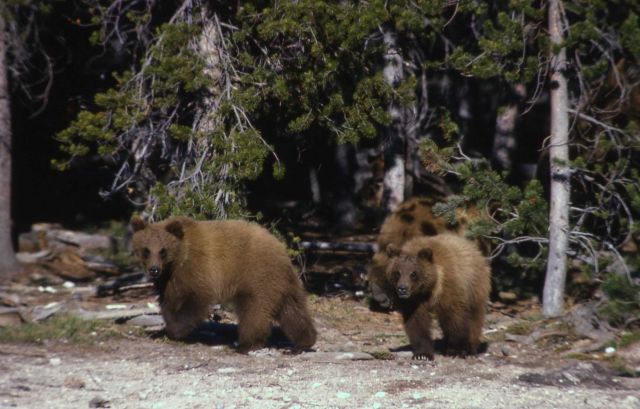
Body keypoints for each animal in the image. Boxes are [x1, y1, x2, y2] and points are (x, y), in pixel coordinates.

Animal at [132, 215, 318, 352]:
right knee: (293, 309)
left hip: (257, 276)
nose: (154, 270)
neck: (177, 261)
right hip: (284, 282)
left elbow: (195, 299)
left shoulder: (198, 268)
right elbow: (168, 301)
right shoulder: (168, 280)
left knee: (255, 310)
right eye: (146, 250)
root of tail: (282, 249)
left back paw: (245, 344)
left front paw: (176, 330)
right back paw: (303, 343)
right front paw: (164, 329)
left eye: (163, 251)